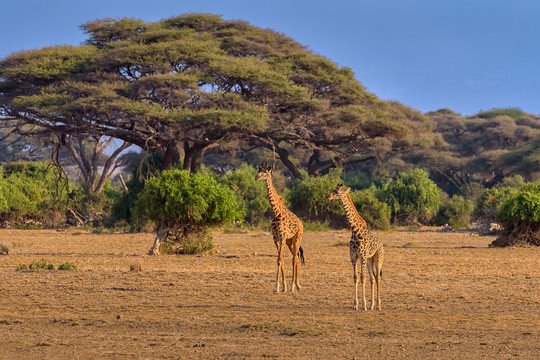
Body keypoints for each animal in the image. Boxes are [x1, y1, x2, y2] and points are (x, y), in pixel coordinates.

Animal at [256, 163, 304, 292]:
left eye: (265, 172)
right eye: (258, 171)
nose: (256, 178)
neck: (276, 211)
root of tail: (301, 223)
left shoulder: (282, 237)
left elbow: (279, 260)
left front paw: (277, 286)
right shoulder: (276, 238)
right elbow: (280, 260)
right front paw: (282, 286)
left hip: (297, 238)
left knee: (294, 259)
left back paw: (294, 285)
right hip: (289, 241)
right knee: (296, 257)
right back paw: (297, 285)